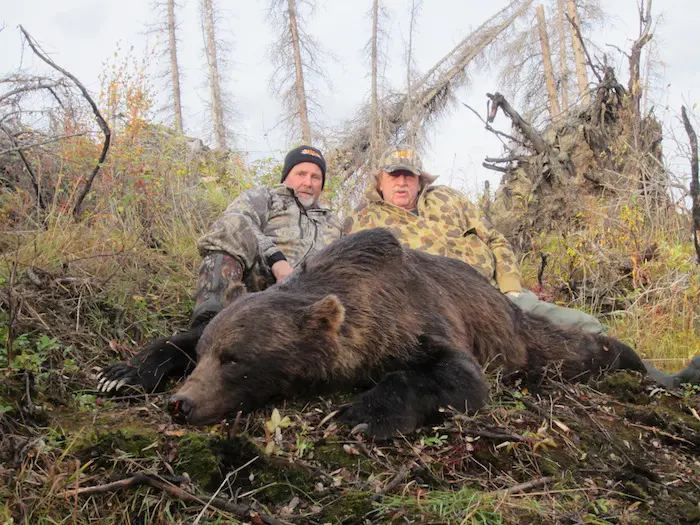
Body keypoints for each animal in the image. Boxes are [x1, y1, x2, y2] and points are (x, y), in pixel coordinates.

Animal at [168, 228, 654, 439]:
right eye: (207, 355)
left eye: (235, 359)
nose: (181, 403)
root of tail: (509, 306)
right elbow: (181, 336)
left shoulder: (417, 318)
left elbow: (459, 377)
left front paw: (364, 413)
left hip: (519, 342)